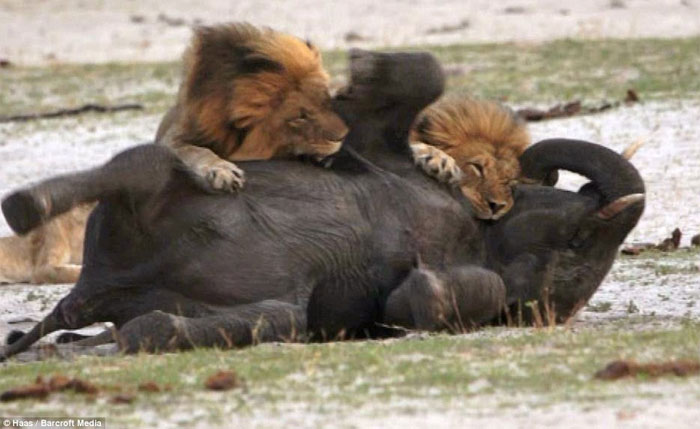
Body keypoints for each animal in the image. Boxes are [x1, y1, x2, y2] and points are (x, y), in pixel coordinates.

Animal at [154, 22, 349, 191]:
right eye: (300, 117)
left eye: (327, 101)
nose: (343, 136)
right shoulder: (173, 138)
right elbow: (196, 151)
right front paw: (223, 172)